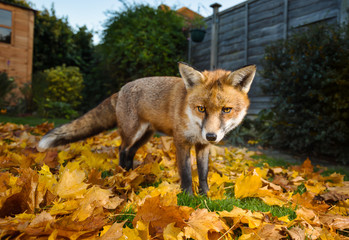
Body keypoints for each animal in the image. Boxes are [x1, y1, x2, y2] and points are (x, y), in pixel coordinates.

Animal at [38, 62, 256, 195]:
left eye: (226, 110)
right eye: (201, 108)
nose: (211, 135)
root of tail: (121, 90)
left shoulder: (202, 146)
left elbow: (203, 174)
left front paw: (206, 196)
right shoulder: (181, 142)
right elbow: (186, 173)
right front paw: (188, 198)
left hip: (145, 136)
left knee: (129, 152)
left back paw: (129, 172)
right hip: (132, 132)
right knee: (121, 149)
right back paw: (123, 174)